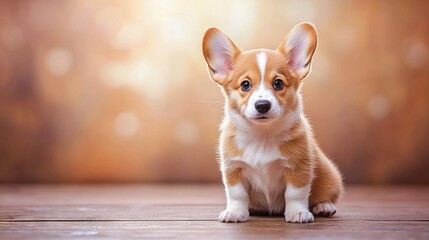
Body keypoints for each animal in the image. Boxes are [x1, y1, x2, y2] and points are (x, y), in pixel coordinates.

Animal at [201, 22, 344, 223]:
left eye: (278, 83)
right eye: (245, 85)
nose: (262, 105)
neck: (263, 134)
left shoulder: (299, 167)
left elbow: (295, 193)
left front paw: (297, 212)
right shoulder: (233, 168)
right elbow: (237, 193)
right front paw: (235, 212)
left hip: (330, 176)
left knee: (325, 194)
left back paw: (324, 206)